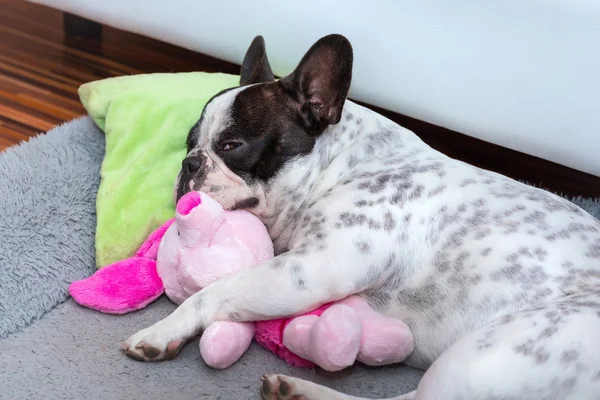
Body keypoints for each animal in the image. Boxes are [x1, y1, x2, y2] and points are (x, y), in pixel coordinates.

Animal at [120, 35, 600, 400]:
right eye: (189, 143)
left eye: (232, 146)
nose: (189, 164)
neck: (339, 167)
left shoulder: (309, 271)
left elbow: (216, 291)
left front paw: (162, 330)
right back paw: (300, 389)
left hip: (478, 358)